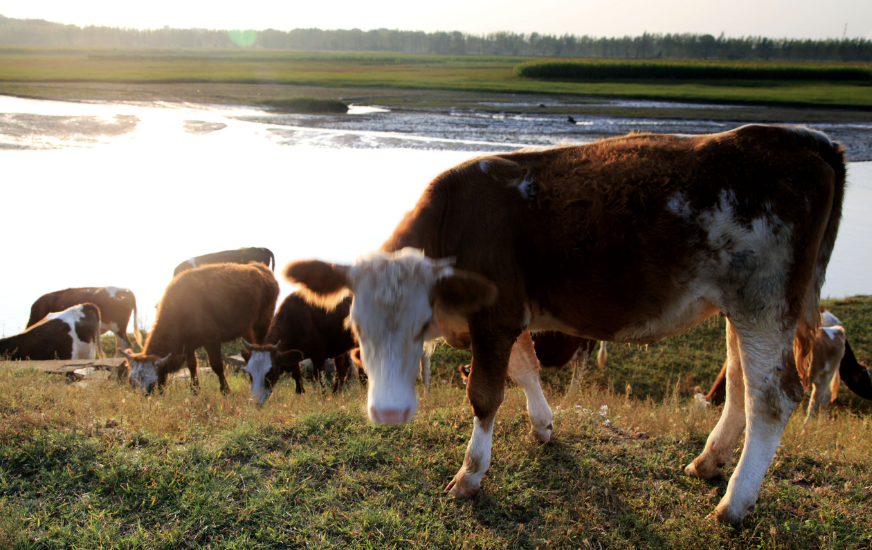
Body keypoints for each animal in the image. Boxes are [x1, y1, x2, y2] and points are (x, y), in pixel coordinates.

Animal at [121, 264, 278, 396]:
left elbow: (217, 366)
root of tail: (261, 269)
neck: (180, 308)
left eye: (152, 383)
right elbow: (192, 366)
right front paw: (195, 390)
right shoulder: (188, 345)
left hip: (262, 323)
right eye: (132, 382)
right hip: (247, 329)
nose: (143, 399)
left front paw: (226, 391)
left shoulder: (212, 340)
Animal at [286, 126, 844, 532]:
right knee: (740, 384)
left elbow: (485, 394)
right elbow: (525, 370)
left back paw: (733, 504)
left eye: (420, 324)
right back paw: (708, 463)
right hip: (739, 307)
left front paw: (470, 474)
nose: (388, 412)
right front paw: (543, 427)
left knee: (772, 398)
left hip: (765, 302)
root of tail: (801, 138)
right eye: (357, 329)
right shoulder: (510, 314)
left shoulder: (496, 315)